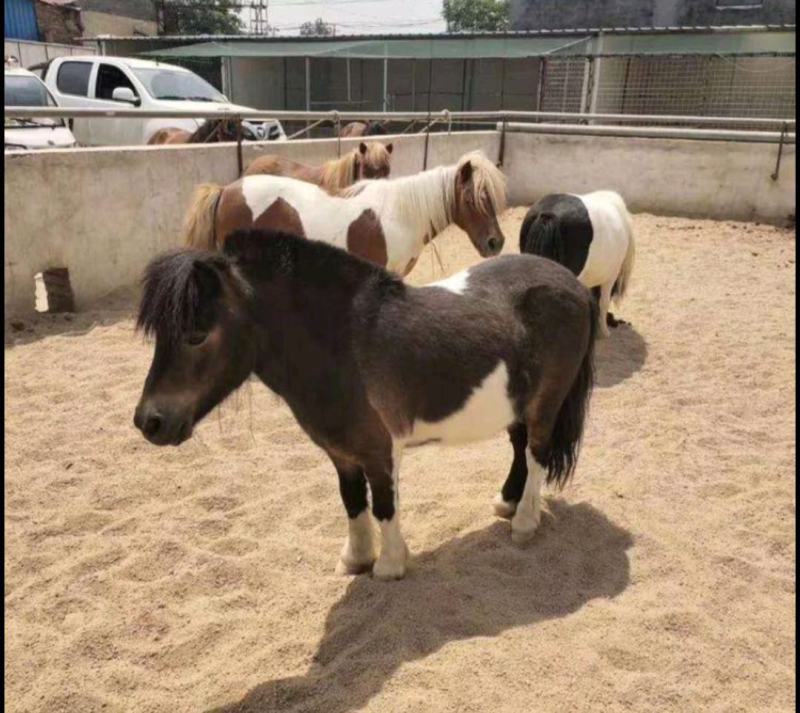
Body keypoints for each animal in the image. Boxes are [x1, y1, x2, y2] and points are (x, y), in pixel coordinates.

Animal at [133, 228, 597, 580]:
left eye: (196, 334)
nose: (148, 421)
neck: (342, 345)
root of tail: (572, 283)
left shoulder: (379, 450)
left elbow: (384, 503)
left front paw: (390, 565)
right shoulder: (341, 453)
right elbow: (353, 501)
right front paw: (355, 560)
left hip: (546, 404)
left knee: (537, 453)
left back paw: (524, 523)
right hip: (516, 404)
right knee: (519, 448)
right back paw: (507, 501)